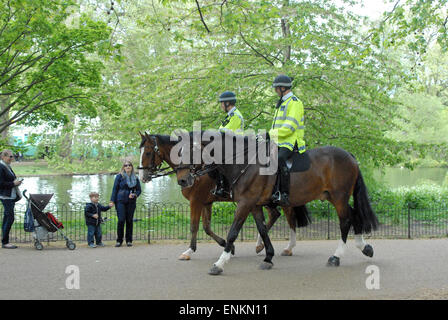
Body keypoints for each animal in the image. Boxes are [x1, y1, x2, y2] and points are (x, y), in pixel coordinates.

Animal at [136, 132, 308, 260]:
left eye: (148, 152)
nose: (142, 176)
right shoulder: (206, 203)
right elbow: (206, 227)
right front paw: (227, 245)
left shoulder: (196, 201)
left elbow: (194, 226)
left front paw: (189, 251)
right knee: (274, 215)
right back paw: (260, 245)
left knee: (289, 216)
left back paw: (288, 247)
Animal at [175, 130, 378, 276]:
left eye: (192, 150)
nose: (183, 180)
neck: (244, 163)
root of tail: (349, 155)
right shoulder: (254, 205)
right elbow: (263, 229)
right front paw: (268, 257)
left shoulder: (244, 204)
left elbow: (233, 232)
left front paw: (219, 263)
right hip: (332, 197)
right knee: (354, 215)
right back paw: (364, 247)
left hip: (339, 197)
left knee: (345, 221)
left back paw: (336, 256)